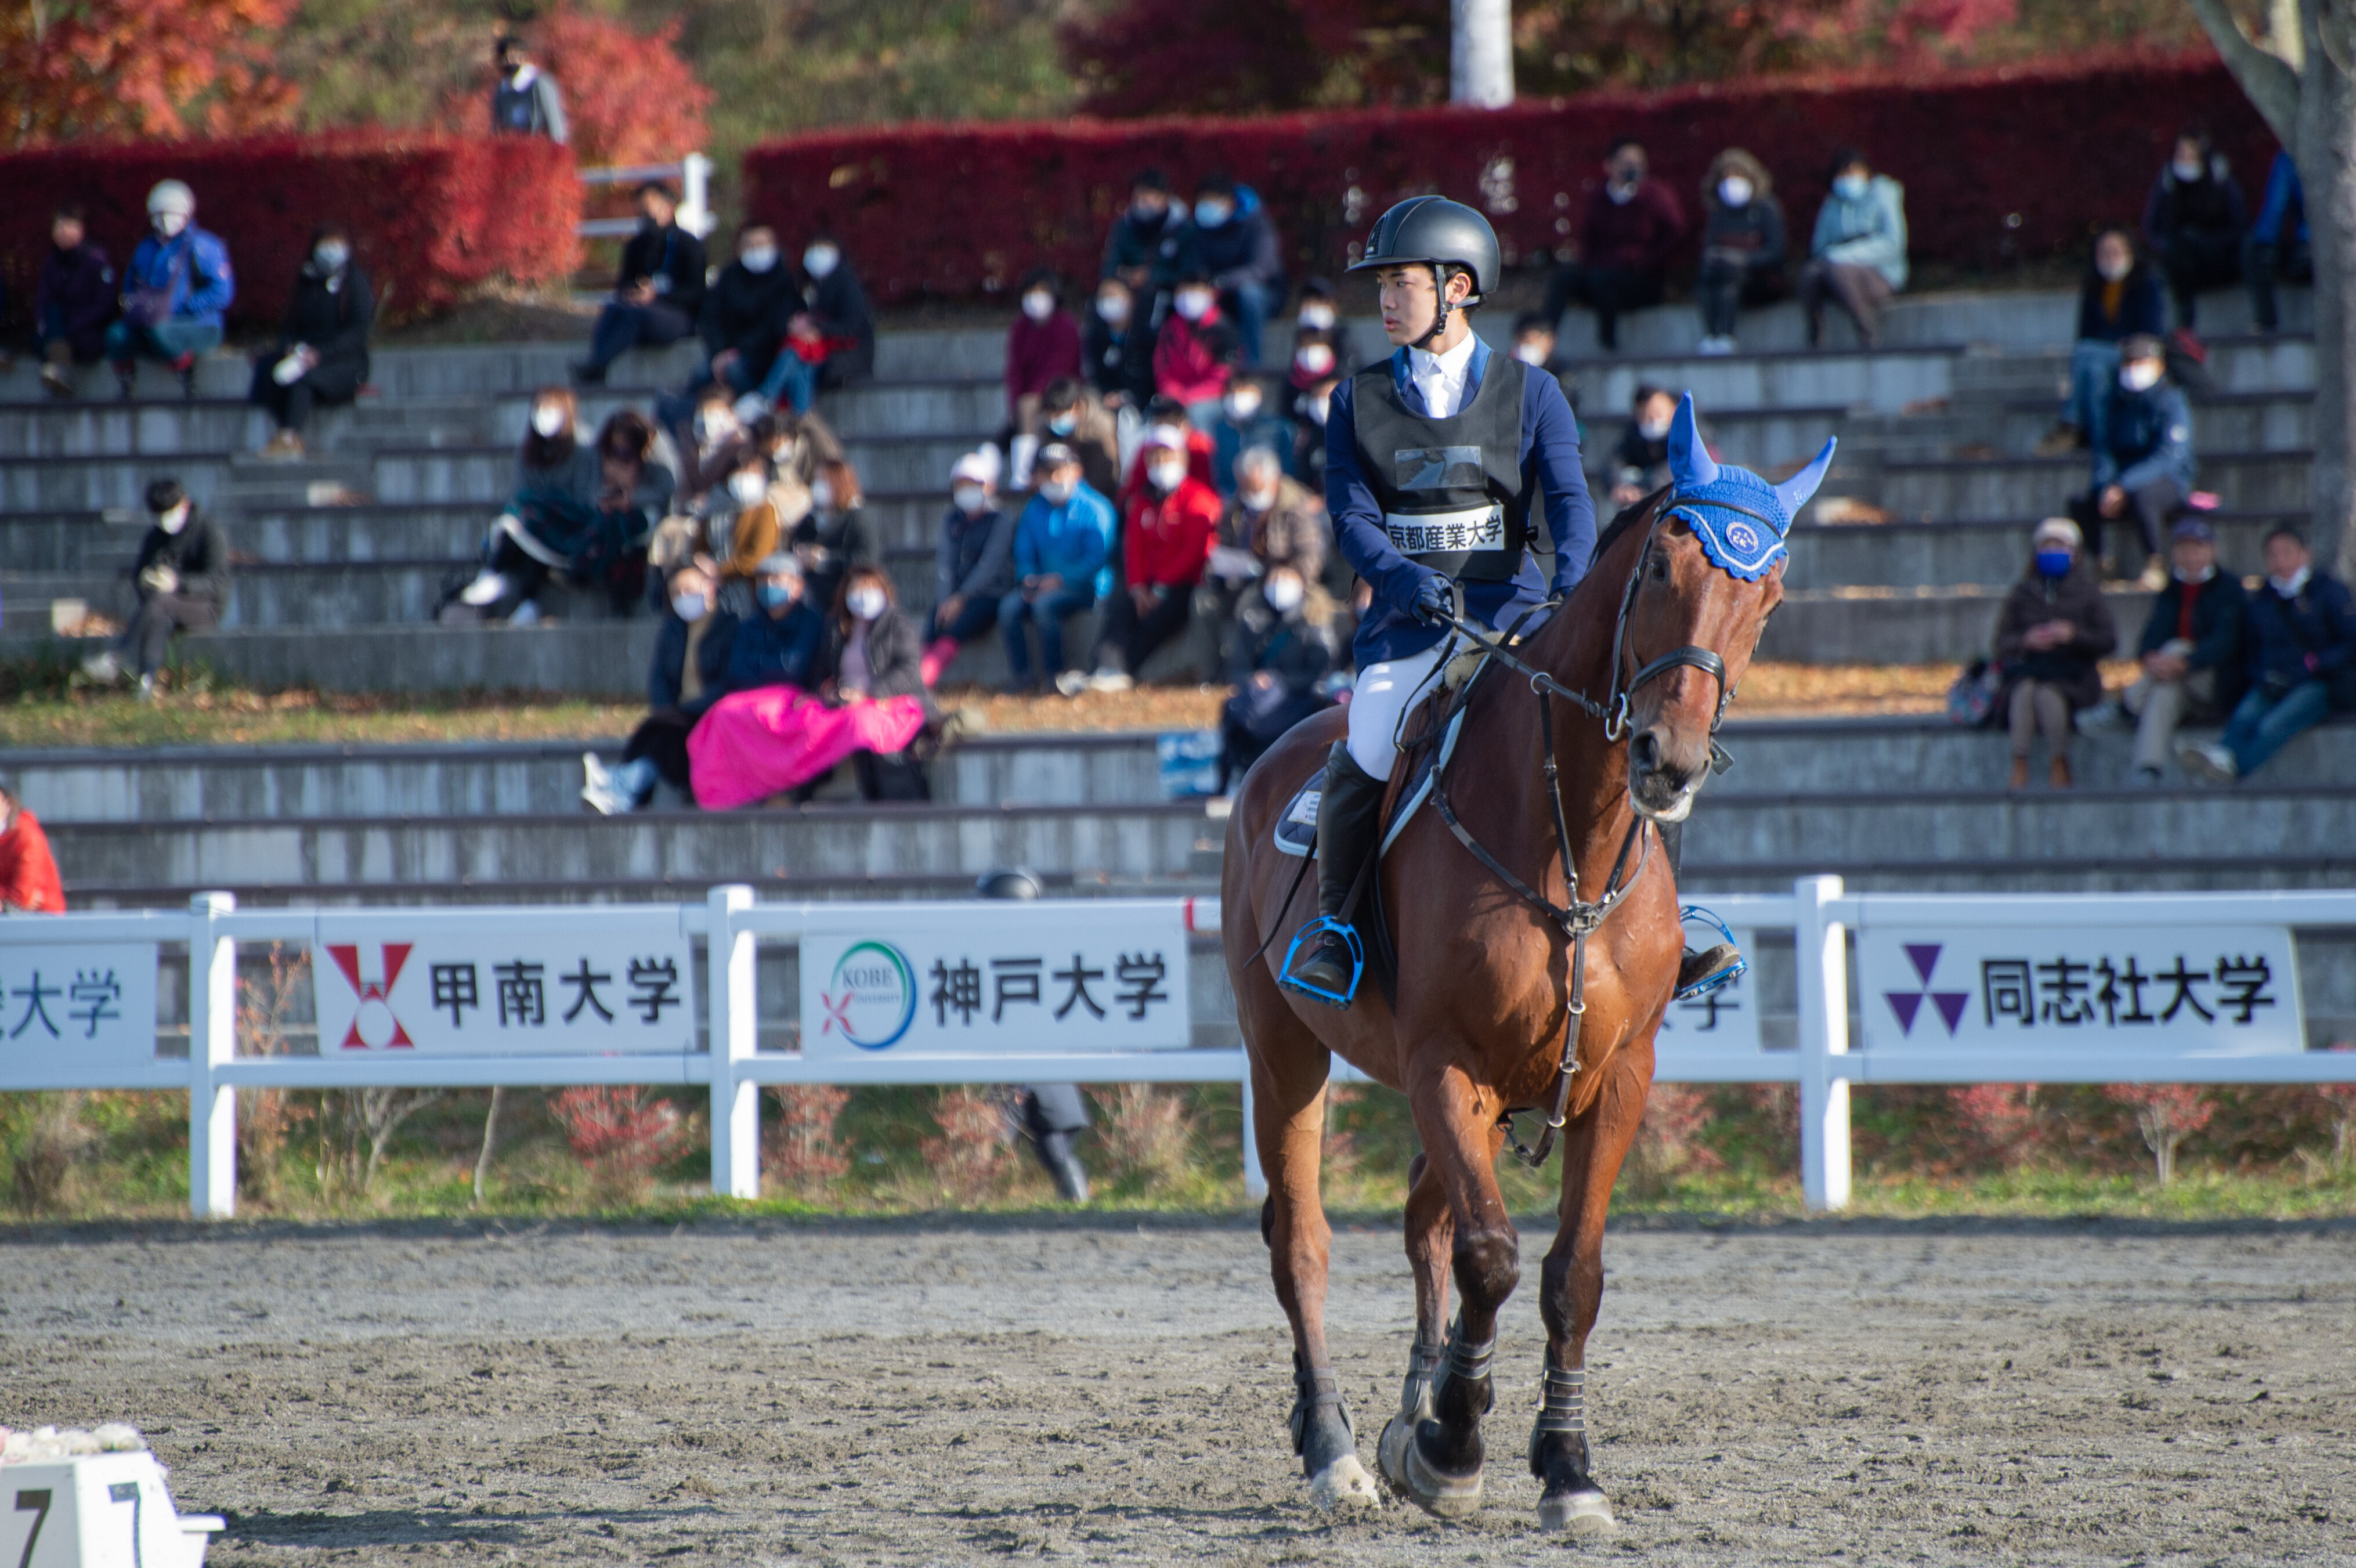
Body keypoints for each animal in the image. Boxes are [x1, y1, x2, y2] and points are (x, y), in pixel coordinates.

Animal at [1219, 394, 1831, 1530]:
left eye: (1766, 597)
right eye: (1662, 568)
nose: (1670, 761)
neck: (1567, 835)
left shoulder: (1617, 1077)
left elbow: (1567, 1274)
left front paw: (1565, 1465)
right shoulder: (1443, 1065)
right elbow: (1493, 1255)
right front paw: (1455, 1445)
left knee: (1424, 1225)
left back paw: (1408, 1410)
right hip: (1286, 1049)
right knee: (1306, 1243)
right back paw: (1336, 1449)